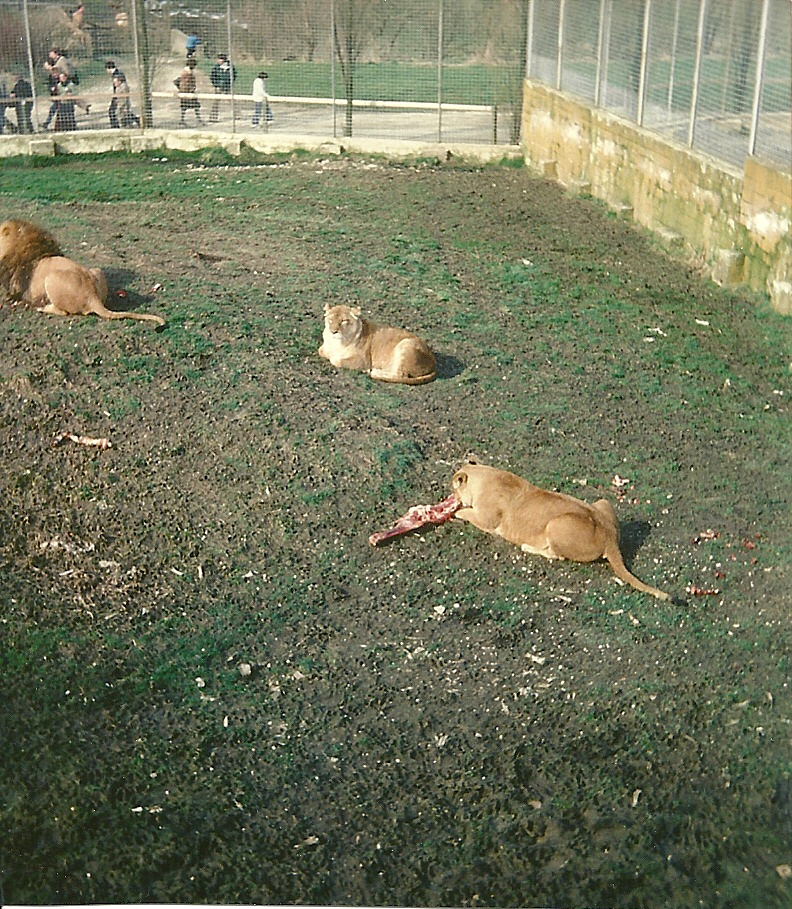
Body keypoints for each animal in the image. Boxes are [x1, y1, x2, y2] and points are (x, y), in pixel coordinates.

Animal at [451, 459, 671, 600]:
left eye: (454, 488)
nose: (452, 495)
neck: (487, 476)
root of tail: (609, 537)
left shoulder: (486, 519)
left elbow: (467, 513)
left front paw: (454, 511)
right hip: (603, 503)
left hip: (556, 525)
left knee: (556, 555)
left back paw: (528, 547)